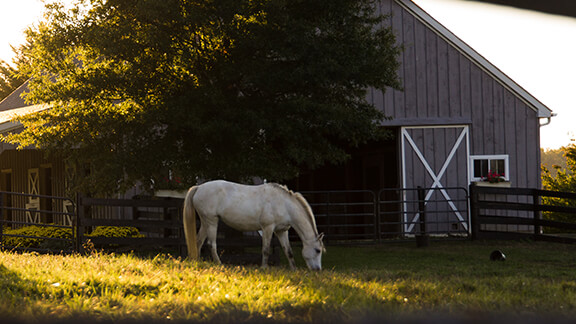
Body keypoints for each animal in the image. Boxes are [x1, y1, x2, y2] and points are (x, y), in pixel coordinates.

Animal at [183, 181, 324, 270]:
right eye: (318, 250)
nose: (317, 270)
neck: (284, 204)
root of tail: (199, 187)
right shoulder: (267, 228)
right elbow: (266, 250)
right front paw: (264, 268)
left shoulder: (282, 231)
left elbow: (288, 251)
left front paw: (294, 269)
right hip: (212, 222)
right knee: (211, 244)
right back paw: (219, 264)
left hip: (205, 222)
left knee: (198, 241)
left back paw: (197, 262)